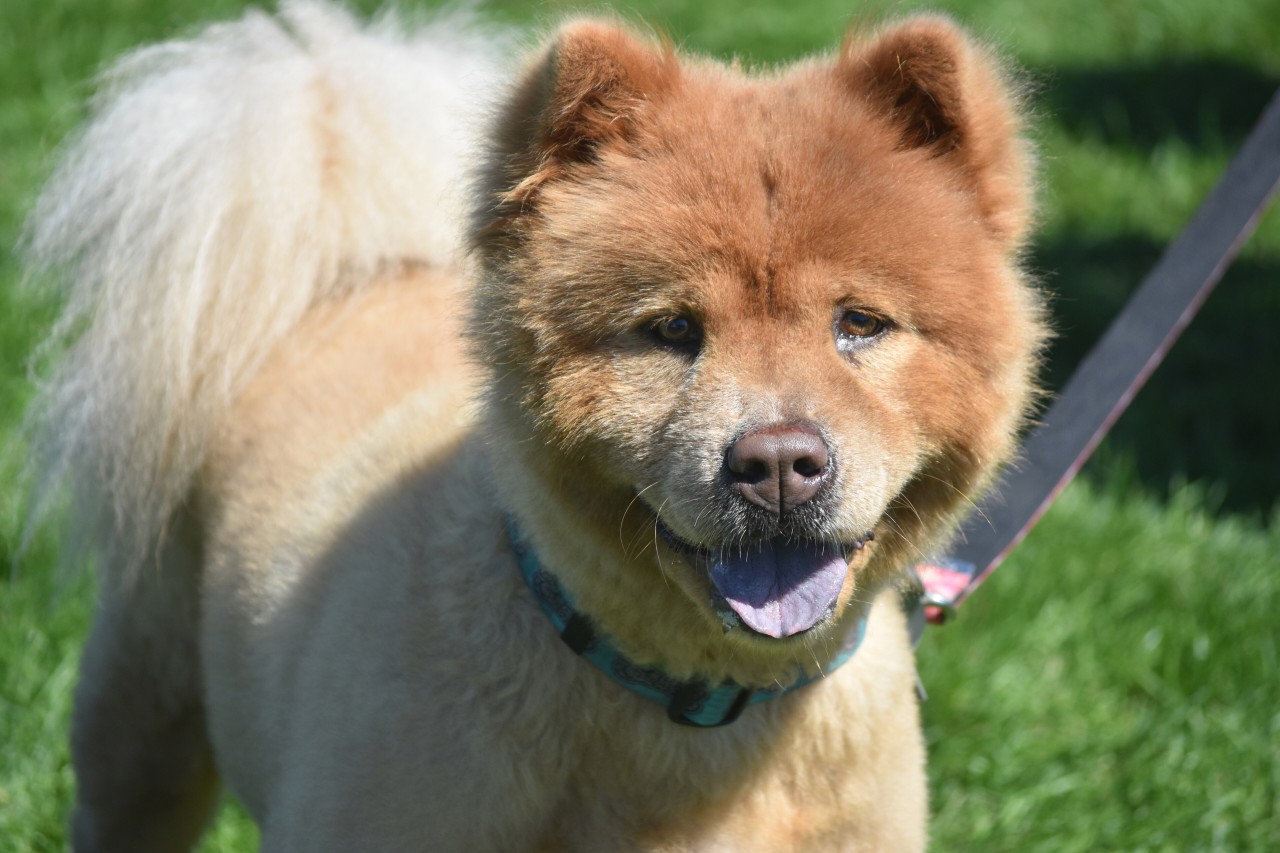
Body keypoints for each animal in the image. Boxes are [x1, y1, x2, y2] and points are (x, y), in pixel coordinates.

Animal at [24, 3, 1044, 845]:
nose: (780, 460)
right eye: (672, 330)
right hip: (142, 715)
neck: (694, 714)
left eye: (859, 324)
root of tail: (348, 278)